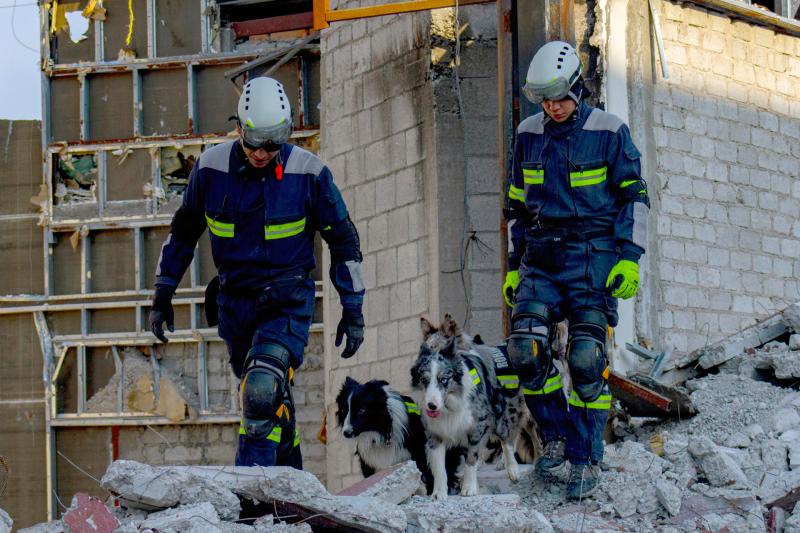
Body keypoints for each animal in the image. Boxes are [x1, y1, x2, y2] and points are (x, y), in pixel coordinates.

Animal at [412, 314, 524, 496]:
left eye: (444, 378)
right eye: (423, 379)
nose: (431, 406)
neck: (449, 403)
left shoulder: (476, 424)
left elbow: (471, 458)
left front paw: (469, 488)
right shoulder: (436, 432)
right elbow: (440, 468)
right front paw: (439, 493)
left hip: (504, 414)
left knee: (507, 439)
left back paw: (512, 469)